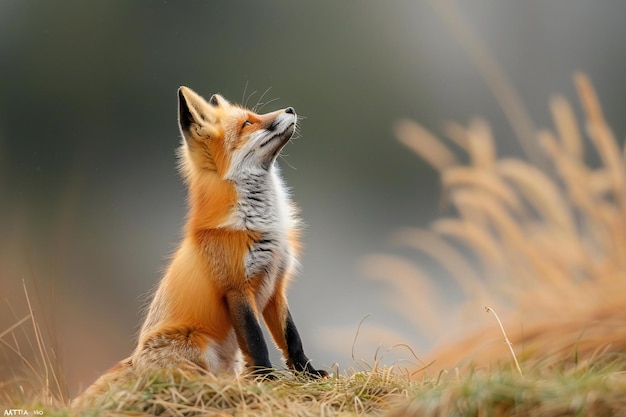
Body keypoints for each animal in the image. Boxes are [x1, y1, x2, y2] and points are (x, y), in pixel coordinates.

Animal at [73, 87, 326, 406]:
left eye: (254, 116)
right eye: (247, 124)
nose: (290, 109)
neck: (259, 222)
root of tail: (133, 360)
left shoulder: (275, 286)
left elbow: (292, 339)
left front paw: (308, 374)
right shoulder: (236, 287)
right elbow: (257, 342)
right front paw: (266, 380)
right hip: (198, 345)